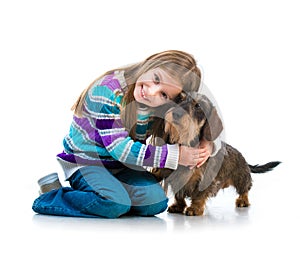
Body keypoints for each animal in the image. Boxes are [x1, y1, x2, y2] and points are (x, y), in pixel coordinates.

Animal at [152, 92, 282, 215]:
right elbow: (179, 195)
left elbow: (199, 196)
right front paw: (178, 206)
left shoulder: (205, 179)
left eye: (198, 106)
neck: (187, 143)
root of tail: (242, 156)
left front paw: (195, 208)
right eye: (179, 99)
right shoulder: (175, 178)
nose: (176, 114)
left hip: (241, 178)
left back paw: (243, 200)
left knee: (245, 189)